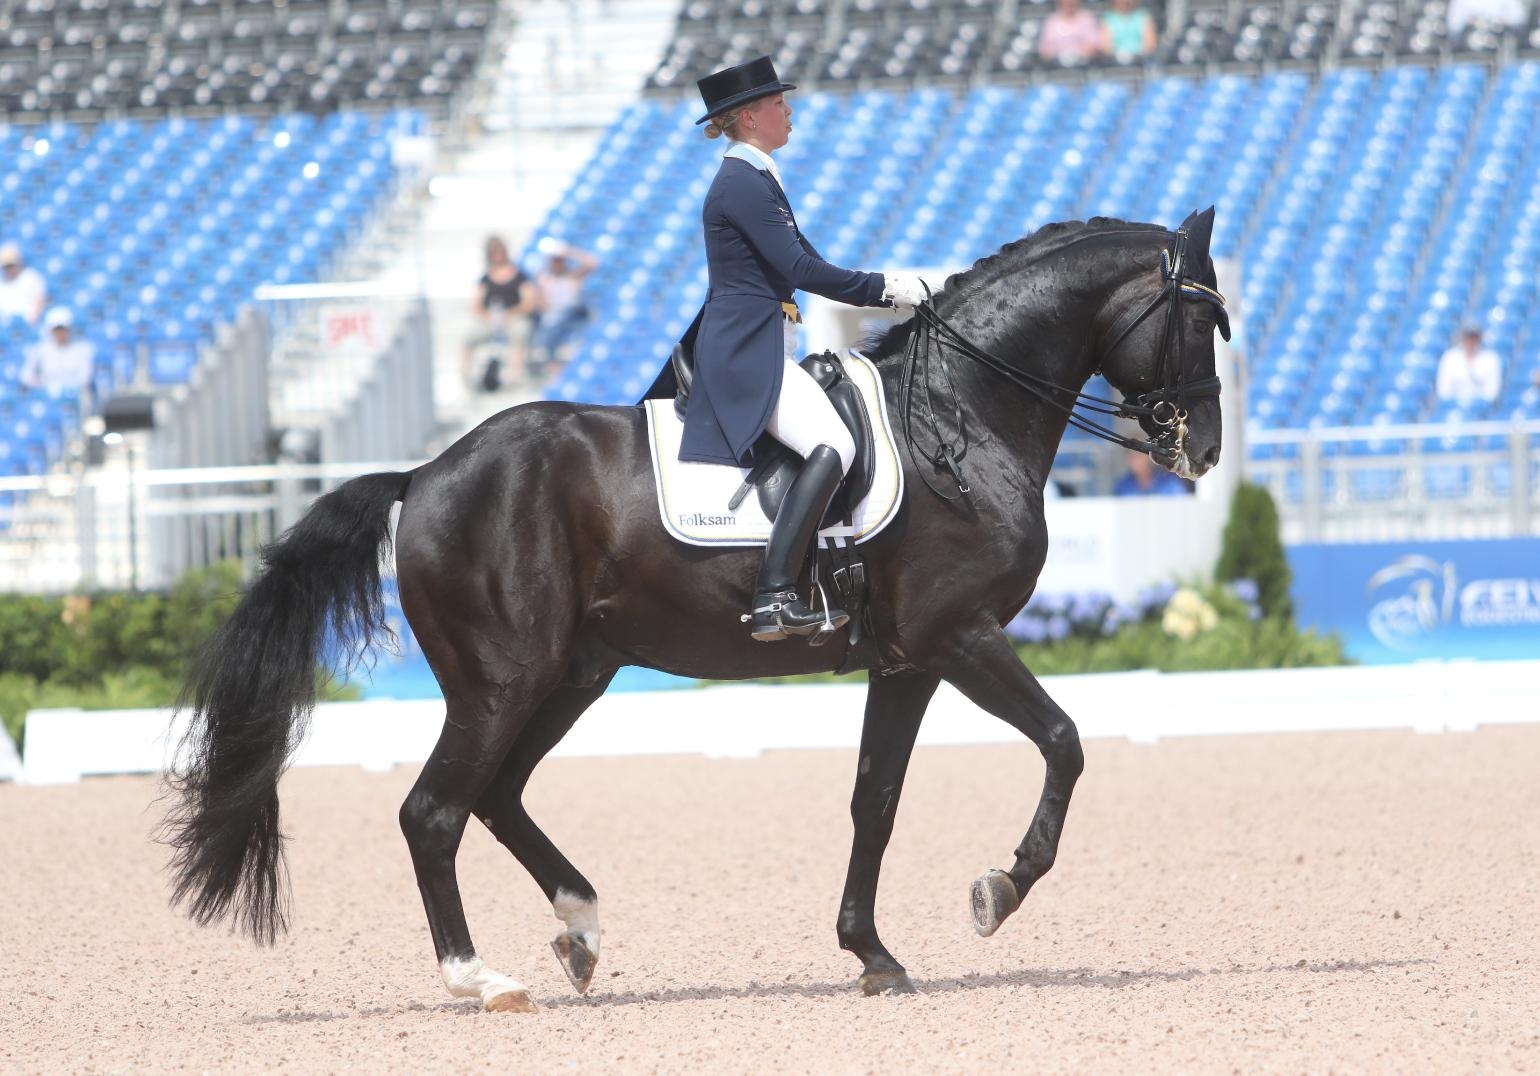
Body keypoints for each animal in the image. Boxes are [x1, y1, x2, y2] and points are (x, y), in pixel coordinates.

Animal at [165, 207, 1225, 1009]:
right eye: (1204, 320)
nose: (1205, 449)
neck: (956, 417)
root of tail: (423, 473)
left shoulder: (905, 661)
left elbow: (874, 801)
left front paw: (872, 954)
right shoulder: (957, 635)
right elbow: (1064, 741)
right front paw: (997, 890)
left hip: (574, 673)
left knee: (496, 797)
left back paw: (581, 929)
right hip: (501, 680)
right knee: (434, 811)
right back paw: (482, 979)